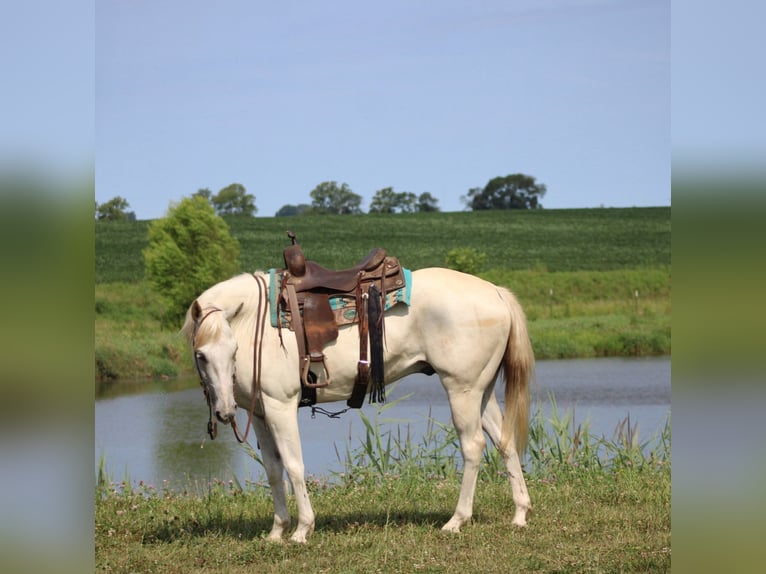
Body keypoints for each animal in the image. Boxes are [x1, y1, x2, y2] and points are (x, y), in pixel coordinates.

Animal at [181, 267, 534, 543]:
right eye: (201, 355)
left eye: (233, 350)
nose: (225, 412)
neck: (254, 324)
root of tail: (496, 292)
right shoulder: (259, 413)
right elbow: (272, 469)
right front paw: (277, 531)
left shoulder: (280, 406)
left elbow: (294, 466)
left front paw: (302, 530)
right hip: (481, 391)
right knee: (504, 442)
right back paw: (519, 513)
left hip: (461, 389)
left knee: (473, 446)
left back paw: (456, 521)